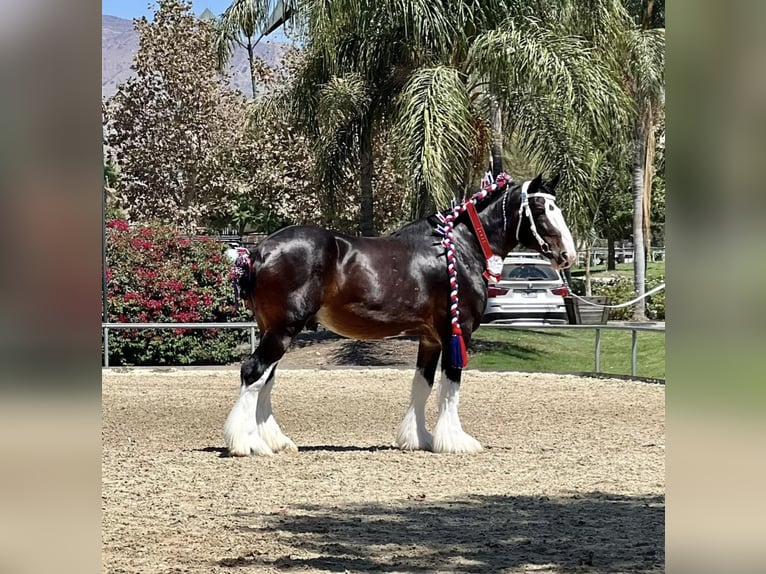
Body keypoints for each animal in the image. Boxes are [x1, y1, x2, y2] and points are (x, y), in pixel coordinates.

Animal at [222, 173, 576, 456]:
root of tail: (258, 250)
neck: (460, 249)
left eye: (556, 207)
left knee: (266, 379)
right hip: (283, 330)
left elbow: (422, 384)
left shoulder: (430, 339)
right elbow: (451, 385)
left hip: (274, 330)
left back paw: (274, 441)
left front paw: (418, 439)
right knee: (253, 372)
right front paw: (455, 441)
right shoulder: (455, 332)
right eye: (542, 209)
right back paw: (246, 444)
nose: (567, 255)